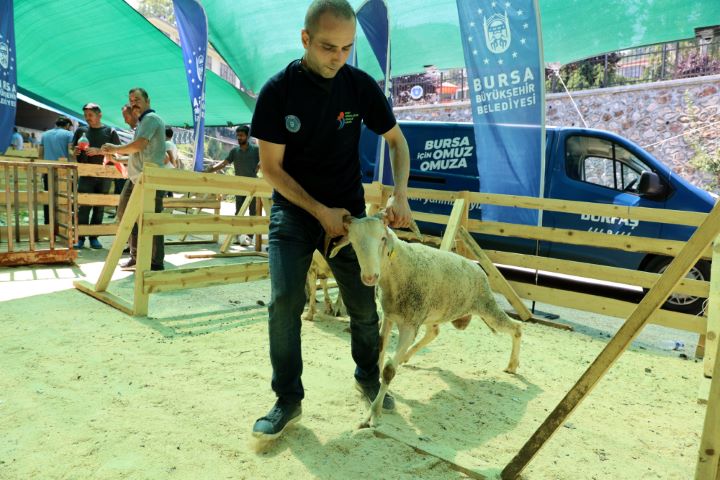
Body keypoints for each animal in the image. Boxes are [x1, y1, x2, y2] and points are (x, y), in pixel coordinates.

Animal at [330, 214, 520, 428]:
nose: (370, 277)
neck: (399, 270)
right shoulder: (389, 316)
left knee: (517, 327)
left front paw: (373, 414)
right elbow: (379, 348)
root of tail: (477, 268)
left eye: (382, 238)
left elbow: (389, 370)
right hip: (435, 311)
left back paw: (512, 365)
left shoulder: (409, 324)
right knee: (434, 332)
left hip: (486, 306)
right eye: (353, 242)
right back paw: (406, 357)